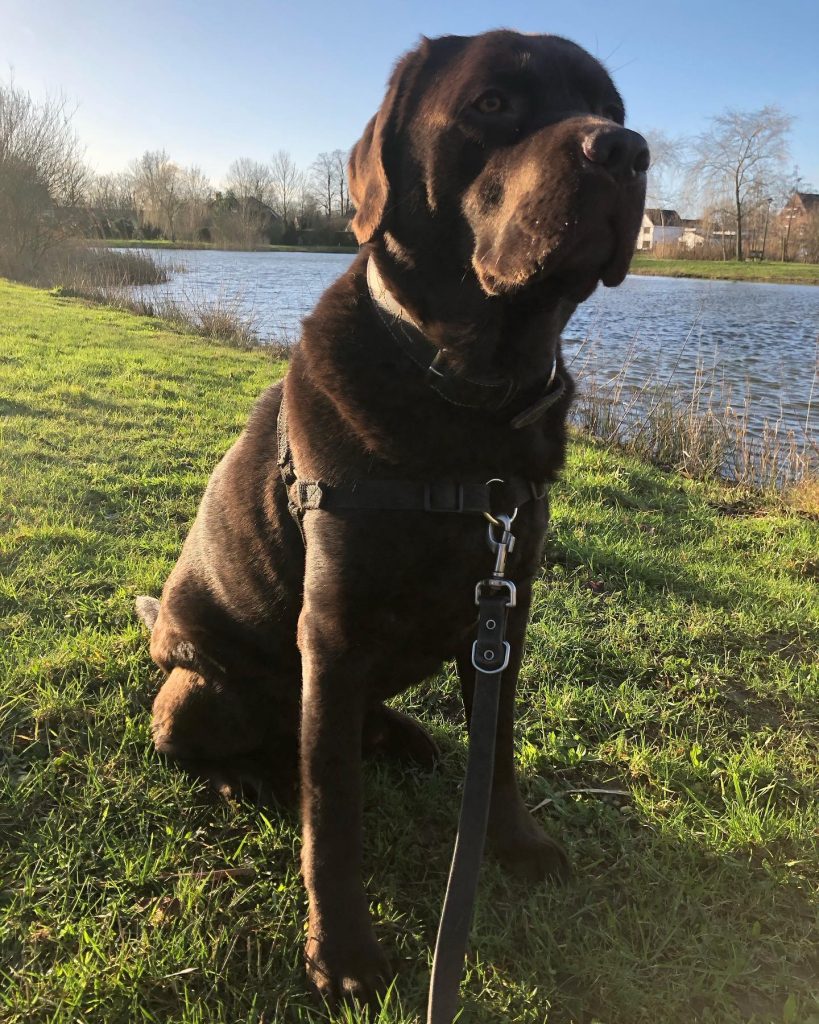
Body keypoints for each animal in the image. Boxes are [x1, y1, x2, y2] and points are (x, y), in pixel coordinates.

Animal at [136, 29, 647, 1007]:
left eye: (612, 107)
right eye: (492, 103)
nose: (626, 150)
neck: (470, 405)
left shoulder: (505, 613)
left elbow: (497, 750)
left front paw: (512, 844)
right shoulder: (331, 632)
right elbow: (333, 813)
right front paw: (342, 953)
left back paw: (404, 737)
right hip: (200, 688)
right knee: (230, 746)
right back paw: (248, 781)